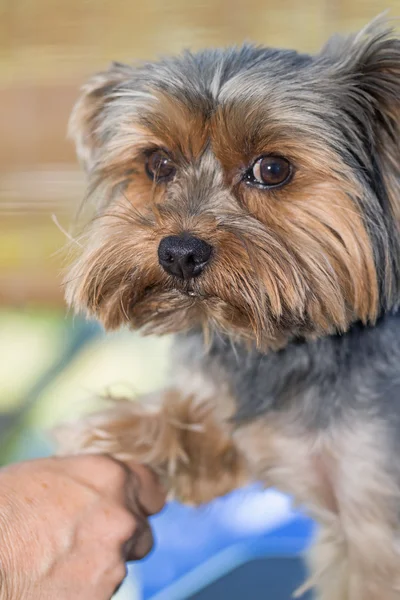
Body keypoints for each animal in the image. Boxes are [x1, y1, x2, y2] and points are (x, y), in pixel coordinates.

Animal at [57, 18, 400, 600]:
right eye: (158, 163)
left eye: (273, 168)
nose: (178, 252)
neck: (288, 350)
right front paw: (119, 433)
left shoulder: (377, 516)